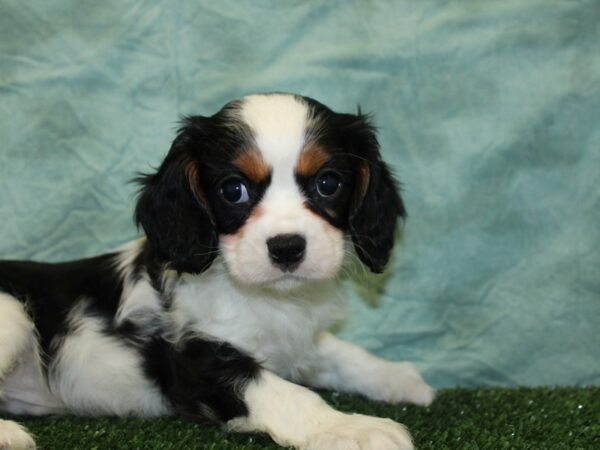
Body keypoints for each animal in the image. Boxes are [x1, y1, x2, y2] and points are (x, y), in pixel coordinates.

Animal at [0, 93, 432, 448]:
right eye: (233, 190)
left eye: (328, 183)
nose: (287, 247)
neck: (269, 299)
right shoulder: (200, 363)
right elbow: (287, 394)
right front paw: (353, 428)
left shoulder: (298, 340)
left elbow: (338, 352)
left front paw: (396, 377)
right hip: (13, 315)